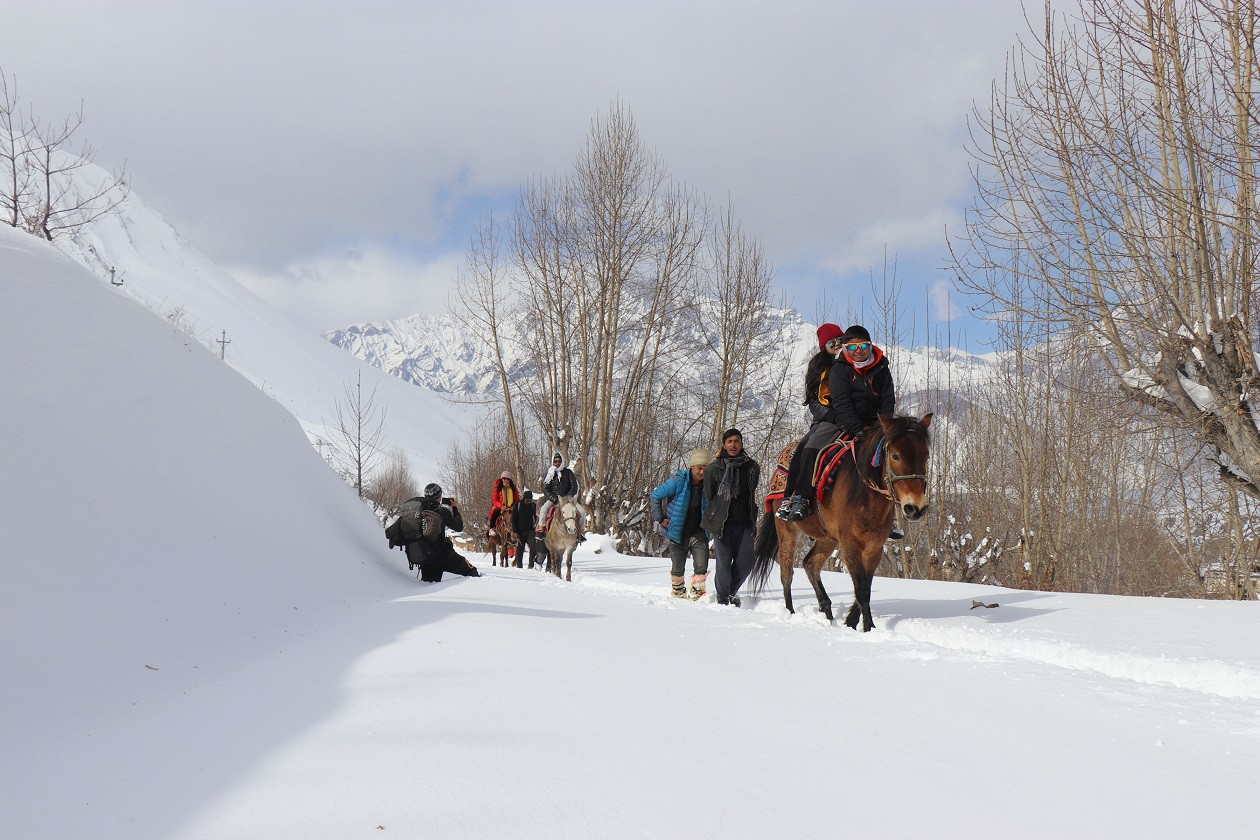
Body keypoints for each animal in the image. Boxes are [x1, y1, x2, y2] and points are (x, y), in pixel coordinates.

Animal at [745, 413, 937, 629]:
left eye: (926, 455)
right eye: (895, 456)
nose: (916, 508)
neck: (866, 497)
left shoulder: (874, 548)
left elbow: (866, 587)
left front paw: (851, 622)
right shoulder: (849, 544)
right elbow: (861, 590)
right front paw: (868, 628)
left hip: (827, 538)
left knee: (810, 564)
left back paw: (827, 612)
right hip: (786, 529)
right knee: (786, 573)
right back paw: (791, 613)